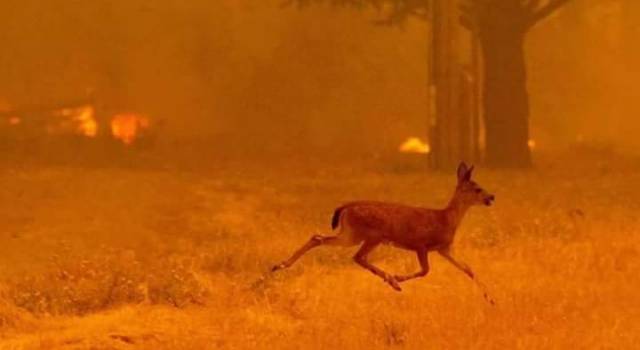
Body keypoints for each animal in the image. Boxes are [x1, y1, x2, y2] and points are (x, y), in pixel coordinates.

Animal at [272, 163, 498, 302]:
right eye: (477, 188)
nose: (492, 197)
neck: (445, 219)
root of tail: (345, 207)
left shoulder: (444, 248)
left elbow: (468, 269)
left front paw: (490, 298)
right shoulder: (420, 243)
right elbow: (425, 270)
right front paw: (397, 277)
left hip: (350, 234)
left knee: (318, 237)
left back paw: (280, 265)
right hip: (371, 235)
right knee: (357, 257)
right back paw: (391, 281)